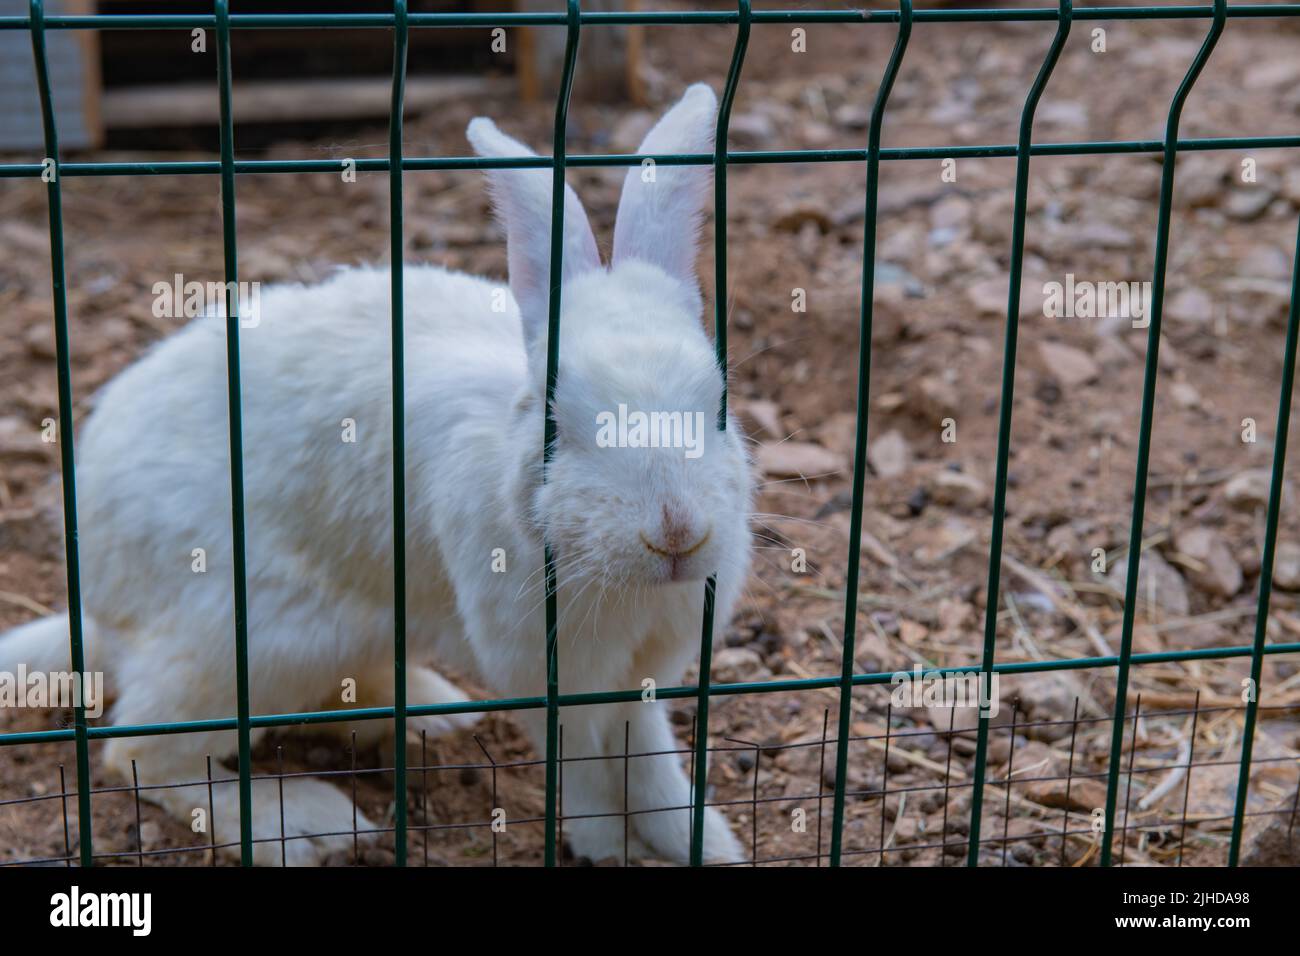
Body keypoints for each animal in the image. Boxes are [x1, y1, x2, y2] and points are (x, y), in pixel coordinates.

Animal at [2, 83, 754, 868]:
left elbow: (649, 753)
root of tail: (102, 603)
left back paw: (430, 714)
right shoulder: (545, 669)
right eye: (553, 426)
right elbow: (581, 764)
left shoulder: (644, 670)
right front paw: (608, 846)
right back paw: (303, 824)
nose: (676, 531)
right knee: (143, 752)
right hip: (248, 639)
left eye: (719, 406)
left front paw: (703, 840)